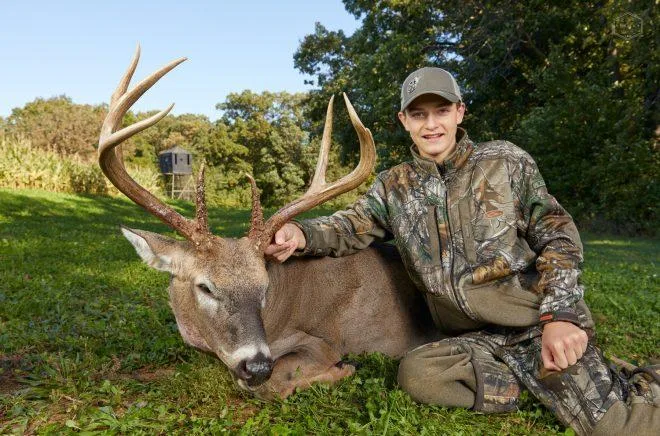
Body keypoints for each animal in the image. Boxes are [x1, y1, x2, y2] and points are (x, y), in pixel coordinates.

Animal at [98, 46, 439, 399]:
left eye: (264, 287)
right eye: (205, 287)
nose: (257, 366)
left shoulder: (319, 343)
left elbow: (271, 383)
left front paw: (342, 369)